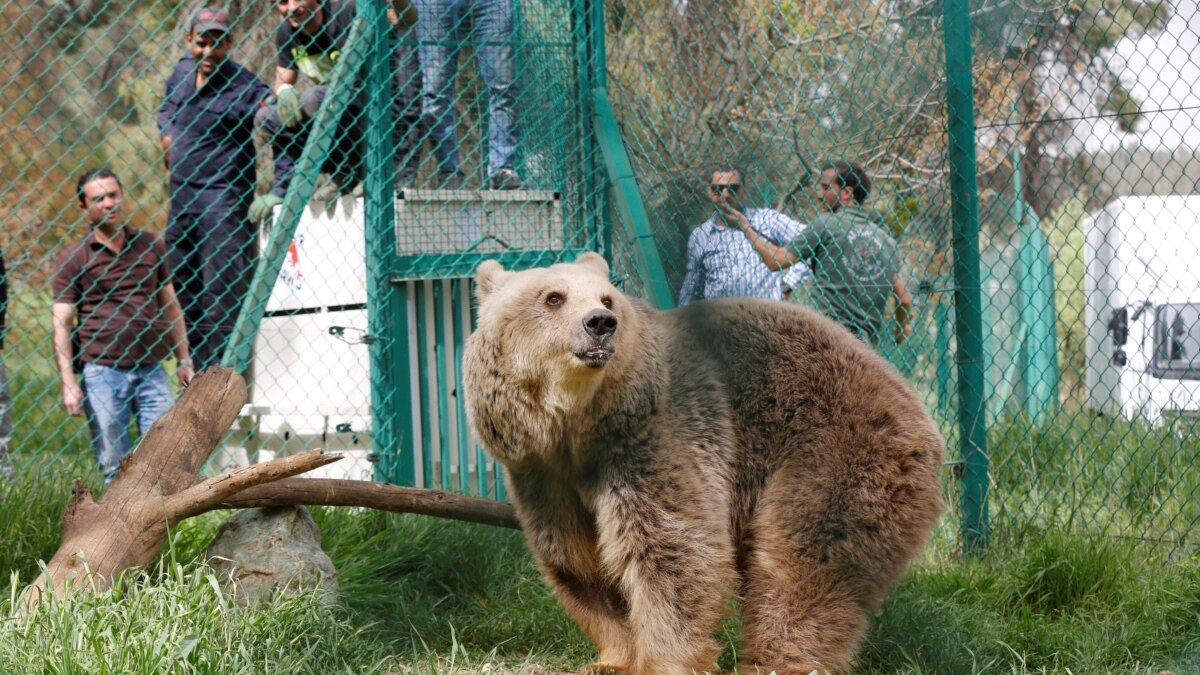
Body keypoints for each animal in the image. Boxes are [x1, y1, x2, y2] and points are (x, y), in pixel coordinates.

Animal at [463, 252, 940, 672]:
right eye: (553, 296)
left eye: (607, 299)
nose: (600, 324)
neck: (578, 426)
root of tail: (908, 396)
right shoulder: (543, 475)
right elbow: (580, 562)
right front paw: (611, 660)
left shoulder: (653, 443)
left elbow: (672, 551)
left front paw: (664, 662)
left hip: (834, 450)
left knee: (802, 564)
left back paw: (773, 662)